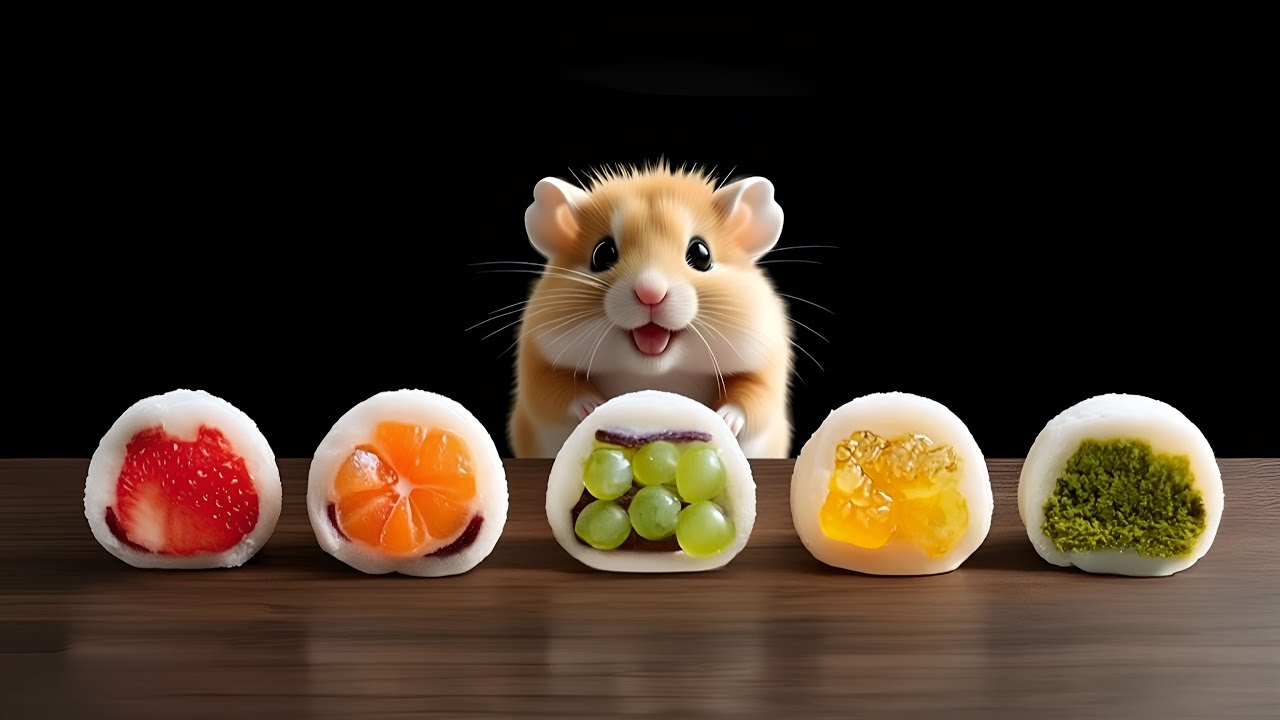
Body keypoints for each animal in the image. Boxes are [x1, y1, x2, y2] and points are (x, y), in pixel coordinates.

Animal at [508, 163, 794, 458]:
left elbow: (753, 398)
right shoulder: (536, 366)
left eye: (702, 255)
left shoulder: (767, 367)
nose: (650, 293)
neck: (655, 372)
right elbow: (554, 392)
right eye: (602, 254)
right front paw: (593, 407)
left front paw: (723, 418)